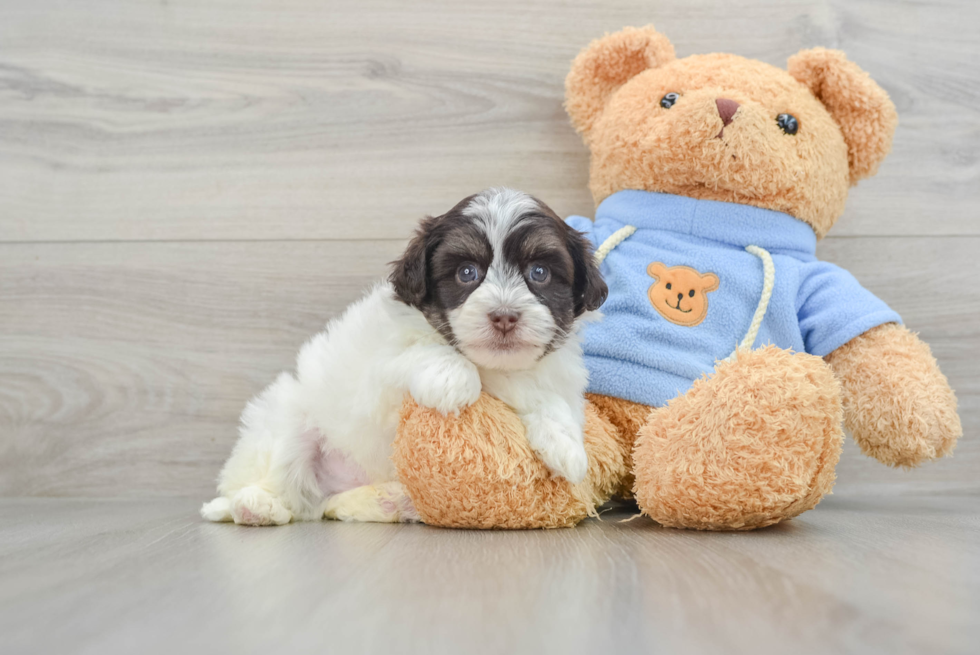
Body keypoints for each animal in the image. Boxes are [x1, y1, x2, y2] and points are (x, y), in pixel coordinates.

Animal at [201, 190, 604, 528]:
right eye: (466, 273)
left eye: (539, 273)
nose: (504, 316)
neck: (494, 367)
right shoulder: (378, 372)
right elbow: (422, 350)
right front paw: (455, 380)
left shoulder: (553, 377)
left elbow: (551, 399)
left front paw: (566, 446)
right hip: (285, 425)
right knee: (281, 487)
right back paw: (255, 506)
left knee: (325, 506)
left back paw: (391, 502)